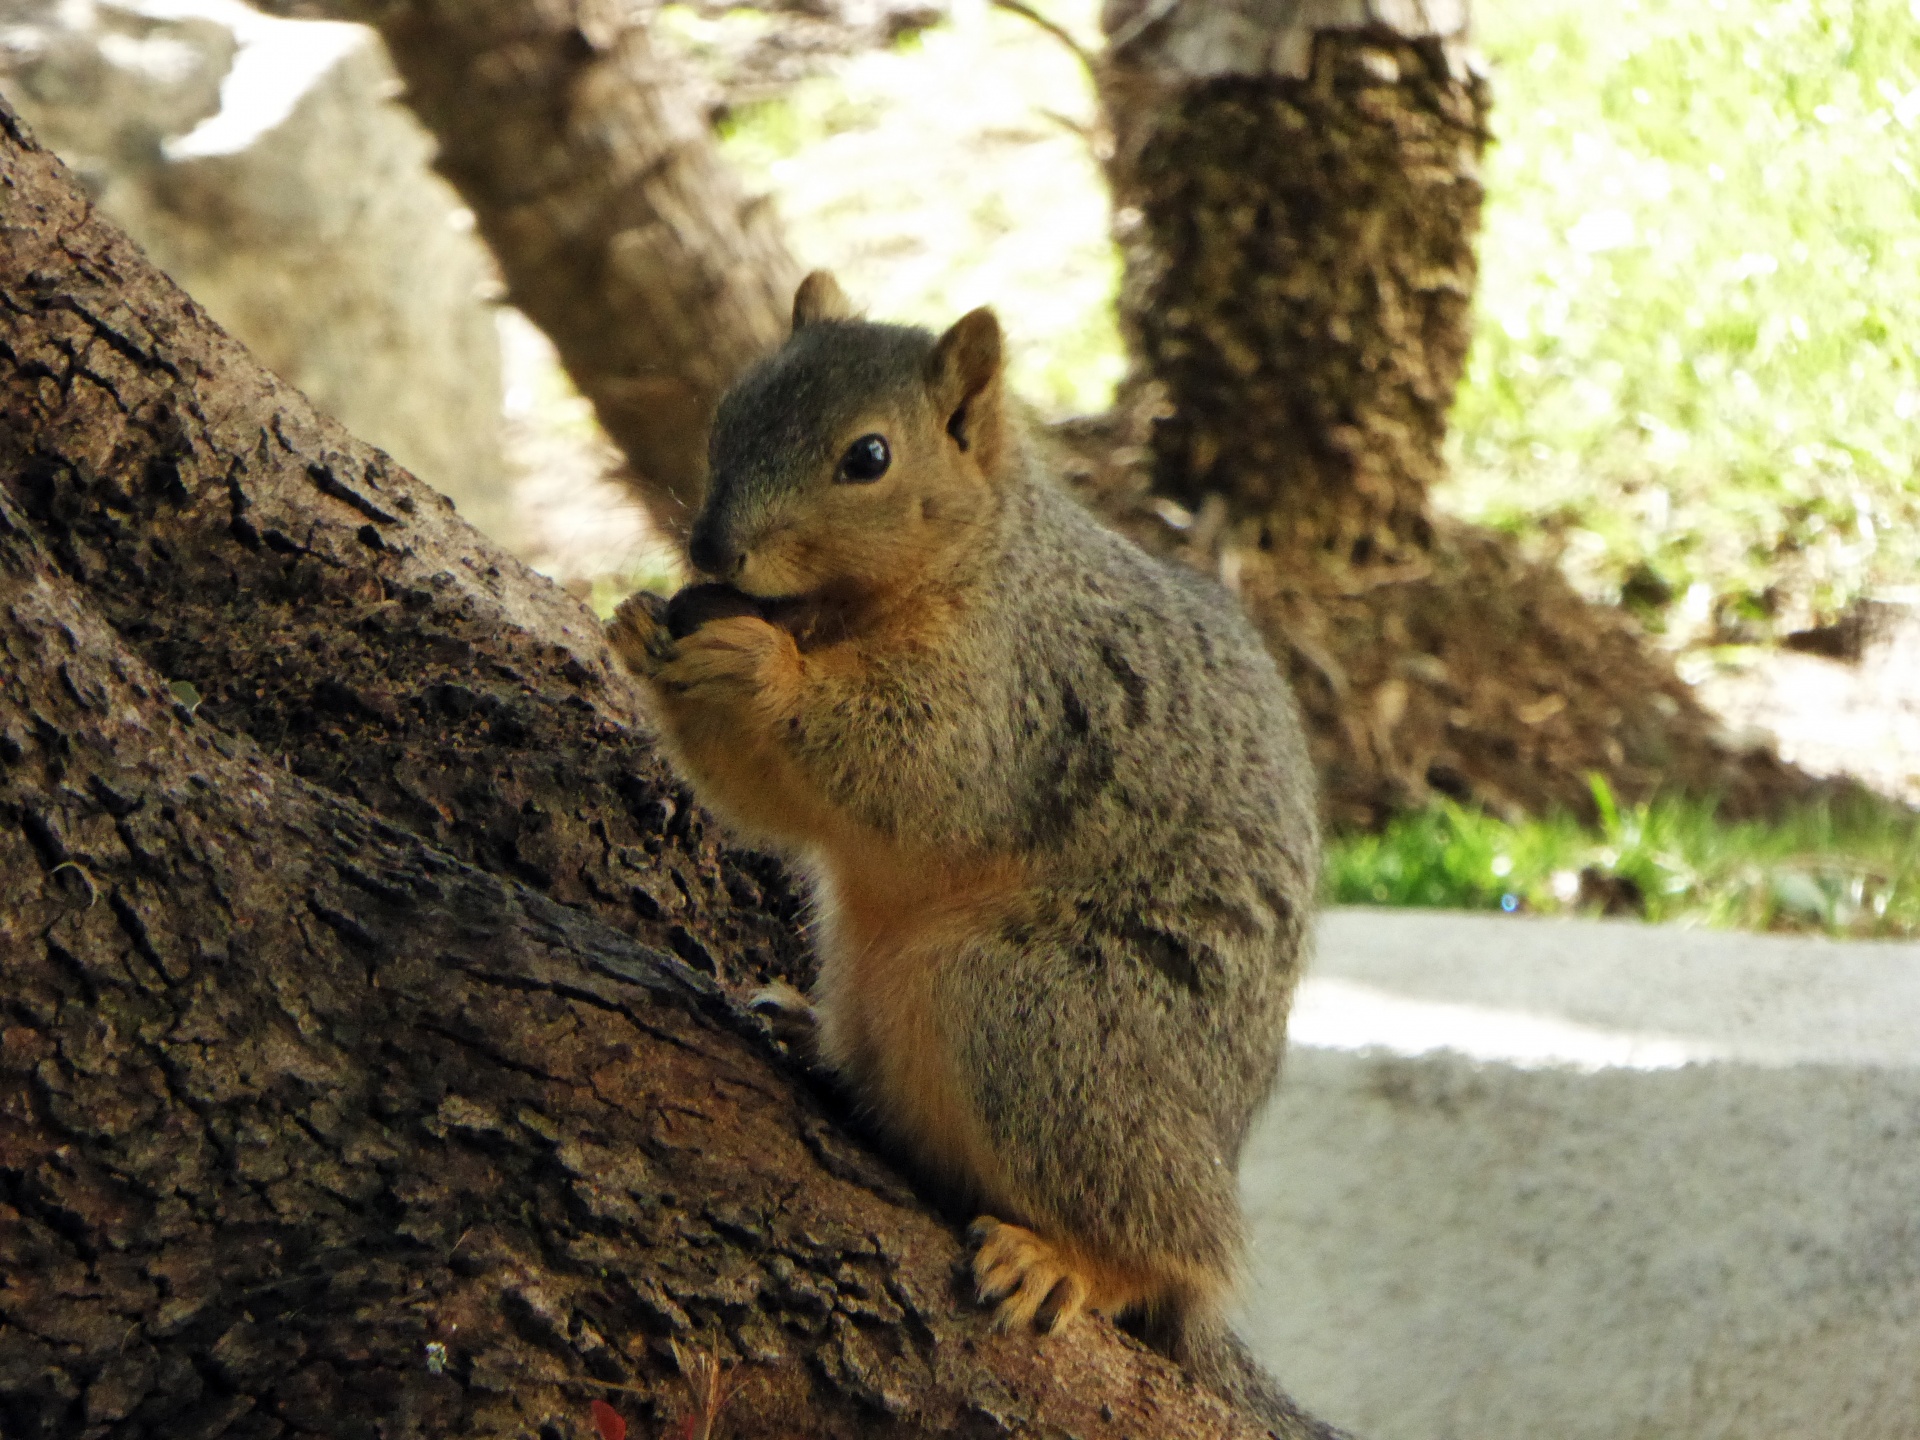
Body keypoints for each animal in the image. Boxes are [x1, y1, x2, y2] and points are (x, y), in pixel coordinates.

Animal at [606, 270, 1328, 1436]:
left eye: (869, 458)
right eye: (730, 409)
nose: (711, 553)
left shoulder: (1014, 689)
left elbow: (921, 767)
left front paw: (757, 666)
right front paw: (635, 621)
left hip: (1036, 1016)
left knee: (1172, 1254)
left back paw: (1073, 1263)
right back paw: (811, 1034)